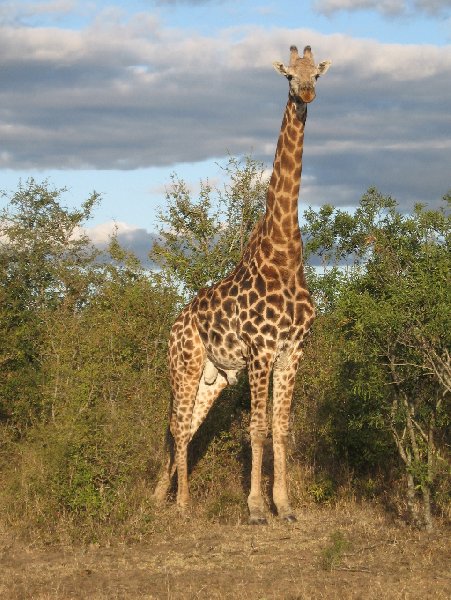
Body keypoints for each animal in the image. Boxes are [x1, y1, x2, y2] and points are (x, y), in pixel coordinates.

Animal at [155, 44, 332, 524]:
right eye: (288, 75)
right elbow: (256, 428)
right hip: (185, 364)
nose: (306, 93)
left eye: (317, 74)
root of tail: (174, 323)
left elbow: (281, 428)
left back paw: (157, 497)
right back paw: (183, 503)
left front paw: (285, 506)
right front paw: (255, 508)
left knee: (182, 427)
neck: (284, 253)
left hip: (213, 377)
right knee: (178, 425)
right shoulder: (261, 350)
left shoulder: (293, 351)